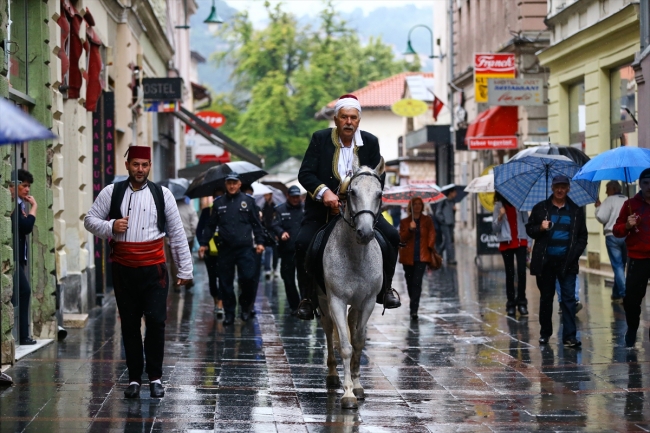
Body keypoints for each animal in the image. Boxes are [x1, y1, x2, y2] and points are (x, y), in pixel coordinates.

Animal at [318, 157, 384, 406]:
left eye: (379, 194)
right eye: (353, 192)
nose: (364, 233)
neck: (355, 255)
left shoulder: (368, 301)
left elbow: (358, 342)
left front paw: (357, 386)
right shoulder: (336, 300)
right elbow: (345, 346)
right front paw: (347, 394)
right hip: (322, 300)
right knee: (329, 330)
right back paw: (332, 375)